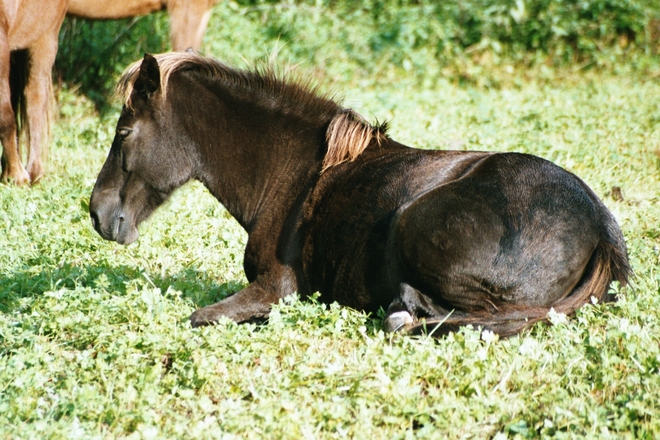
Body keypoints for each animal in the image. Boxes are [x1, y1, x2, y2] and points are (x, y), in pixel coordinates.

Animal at [89, 53, 628, 336]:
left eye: (123, 132)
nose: (97, 213)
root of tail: (597, 222)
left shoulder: (275, 288)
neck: (293, 175)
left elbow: (201, 315)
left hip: (416, 224)